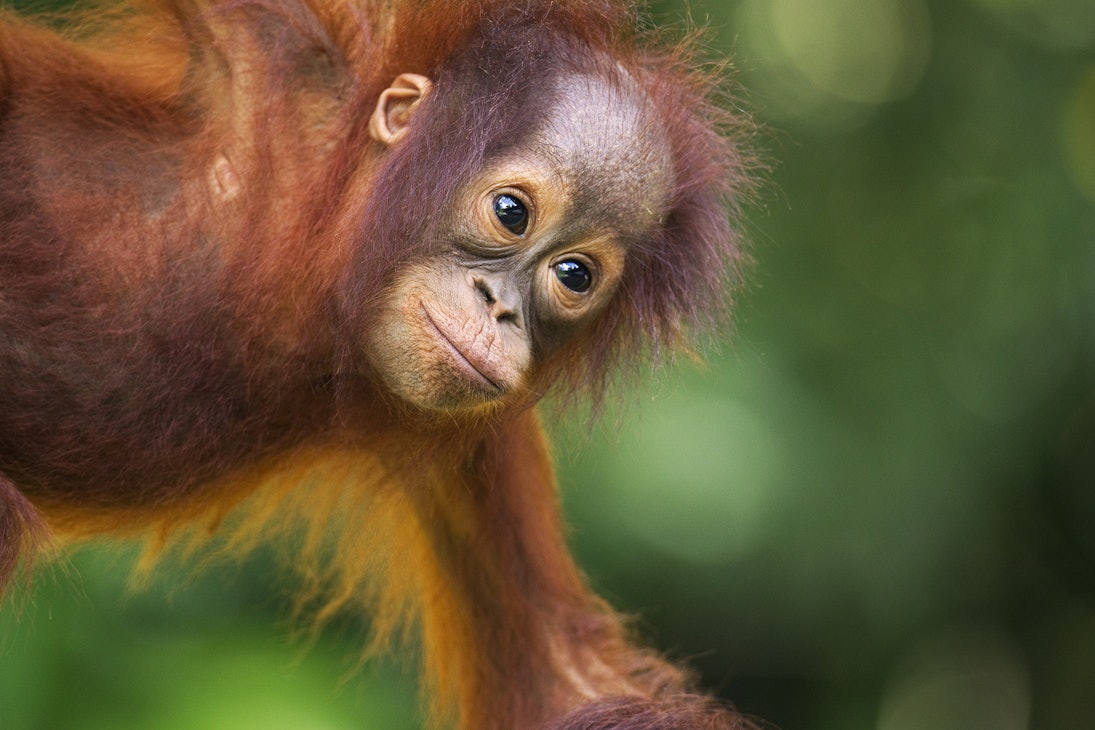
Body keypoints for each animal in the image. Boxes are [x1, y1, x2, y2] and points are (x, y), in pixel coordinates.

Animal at [0, 0, 757, 727]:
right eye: (511, 212)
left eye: (575, 275)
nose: (499, 309)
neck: (320, 290)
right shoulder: (284, 57)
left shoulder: (478, 434)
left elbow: (563, 673)